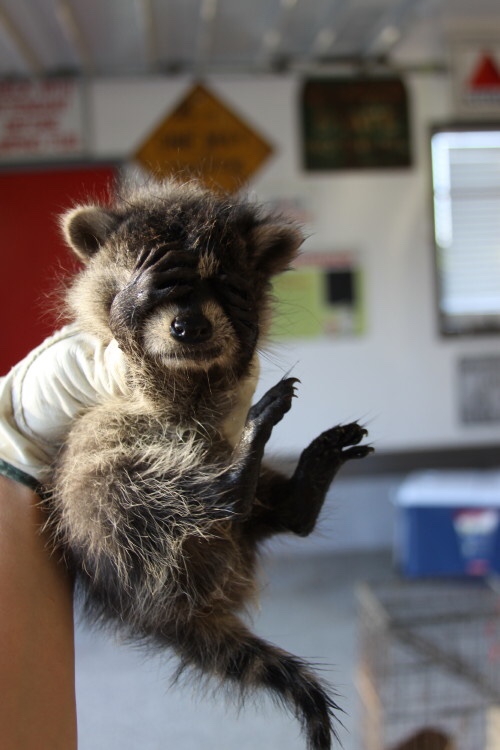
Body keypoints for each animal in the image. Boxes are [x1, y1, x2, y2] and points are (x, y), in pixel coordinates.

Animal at [46, 179, 372, 750]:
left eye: (222, 285)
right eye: (161, 287)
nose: (190, 327)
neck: (192, 369)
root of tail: (164, 612)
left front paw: (242, 339)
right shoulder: (125, 375)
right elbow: (143, 376)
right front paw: (128, 313)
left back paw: (290, 498)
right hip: (100, 523)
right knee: (102, 472)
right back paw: (230, 485)